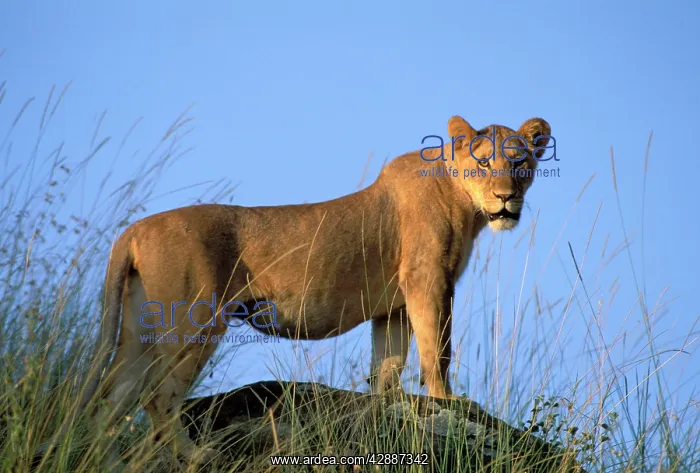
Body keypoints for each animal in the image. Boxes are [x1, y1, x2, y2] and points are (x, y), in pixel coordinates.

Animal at [38, 115, 551, 467]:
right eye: (483, 161)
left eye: (519, 161)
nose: (506, 197)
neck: (463, 204)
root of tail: (133, 230)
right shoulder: (428, 280)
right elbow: (437, 349)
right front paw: (449, 402)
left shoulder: (393, 306)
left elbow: (387, 364)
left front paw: (389, 411)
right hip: (194, 321)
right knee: (156, 395)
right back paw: (198, 456)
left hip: (137, 330)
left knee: (113, 397)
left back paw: (105, 462)